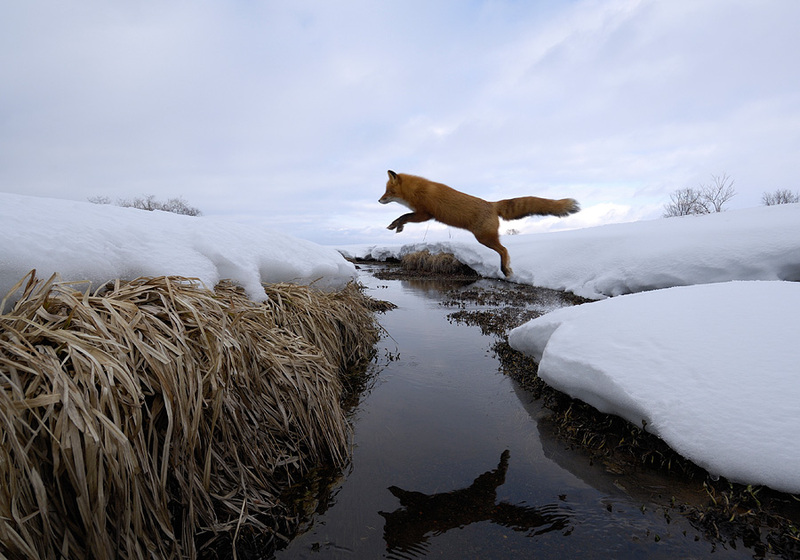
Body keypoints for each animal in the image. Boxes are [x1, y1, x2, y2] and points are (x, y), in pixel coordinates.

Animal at [378, 170, 580, 276]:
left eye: (388, 191)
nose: (379, 200)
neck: (418, 190)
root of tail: (492, 204)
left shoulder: (425, 214)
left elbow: (404, 216)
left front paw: (396, 225)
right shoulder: (422, 214)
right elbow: (403, 216)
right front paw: (396, 226)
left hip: (484, 238)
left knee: (504, 250)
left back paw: (505, 269)